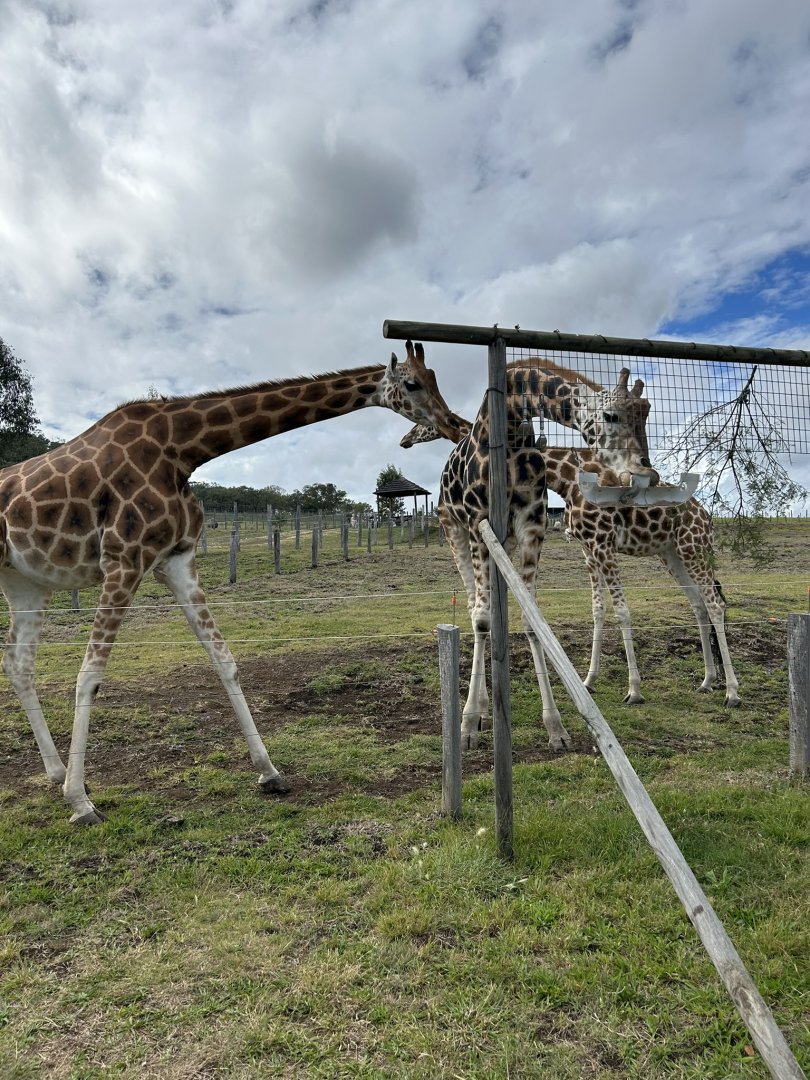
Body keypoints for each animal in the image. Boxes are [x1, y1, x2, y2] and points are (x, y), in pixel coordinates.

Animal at [1, 341, 462, 824]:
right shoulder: (124, 559)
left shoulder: (177, 560)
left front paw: (270, 772)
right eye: (411, 383)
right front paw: (80, 802)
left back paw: (55, 772)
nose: (454, 423)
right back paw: (67, 783)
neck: (182, 449)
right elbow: (89, 675)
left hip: (25, 581)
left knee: (17, 661)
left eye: (434, 379)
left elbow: (225, 660)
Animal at [404, 358, 658, 751]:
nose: (647, 473)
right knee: (474, 607)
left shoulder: (531, 527)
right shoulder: (479, 524)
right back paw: (477, 711)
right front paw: (468, 724)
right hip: (453, 531)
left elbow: (531, 619)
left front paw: (556, 728)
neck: (509, 427)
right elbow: (481, 618)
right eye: (611, 415)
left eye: (646, 415)